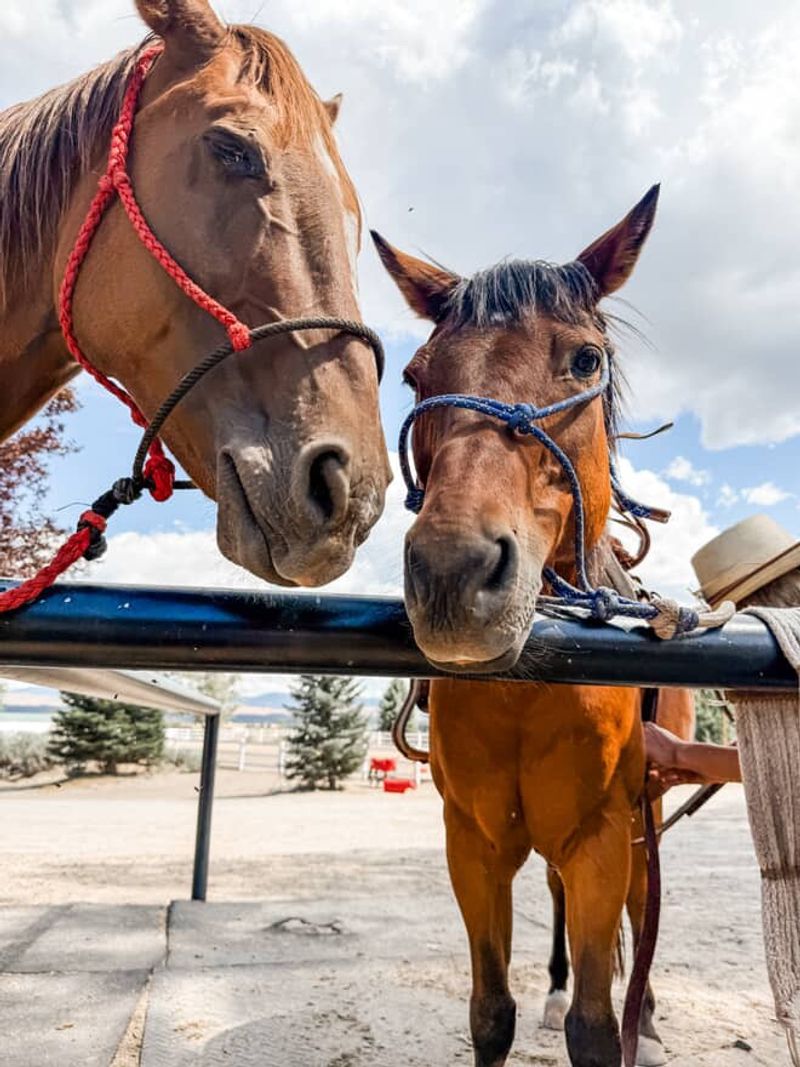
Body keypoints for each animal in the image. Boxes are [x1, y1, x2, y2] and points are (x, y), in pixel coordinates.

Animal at [373, 187, 688, 1067]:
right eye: (414, 375)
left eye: (584, 360)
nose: (452, 572)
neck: (530, 686)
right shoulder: (474, 843)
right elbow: (490, 1011)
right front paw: (536, 997)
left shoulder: (603, 837)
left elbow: (597, 1024)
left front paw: (622, 1018)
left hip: (645, 824)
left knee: (643, 904)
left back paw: (648, 1013)